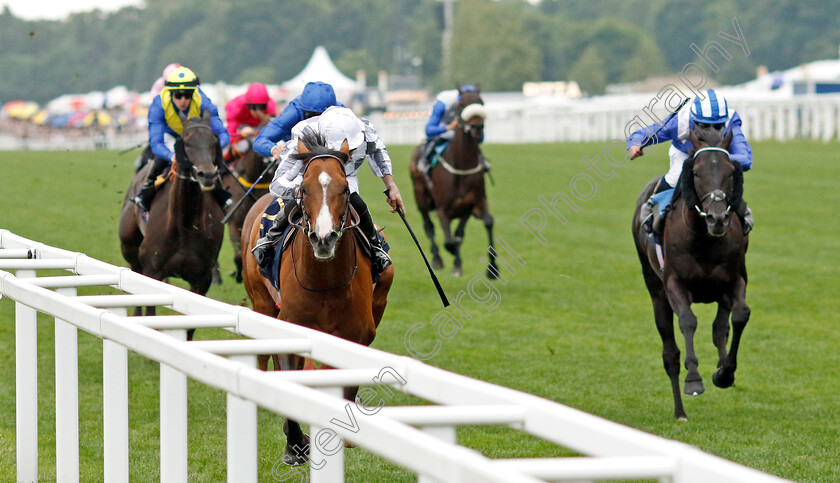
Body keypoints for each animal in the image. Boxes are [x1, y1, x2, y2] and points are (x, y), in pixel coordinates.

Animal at [118, 110, 225, 340]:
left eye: (213, 141)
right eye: (186, 142)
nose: (207, 174)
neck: (185, 226)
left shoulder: (202, 279)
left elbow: (190, 327)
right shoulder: (152, 270)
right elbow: (150, 312)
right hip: (129, 246)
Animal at [238, 130, 392, 466]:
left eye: (345, 189)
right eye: (304, 189)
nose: (324, 238)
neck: (325, 282)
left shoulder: (356, 336)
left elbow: (343, 384)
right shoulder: (289, 327)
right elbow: (290, 378)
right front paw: (294, 445)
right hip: (261, 301)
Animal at [408, 85, 496, 278]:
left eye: (481, 102)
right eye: (461, 105)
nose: (477, 128)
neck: (462, 168)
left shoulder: (473, 204)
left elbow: (483, 224)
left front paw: (492, 268)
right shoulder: (442, 209)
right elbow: (449, 240)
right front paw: (452, 256)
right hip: (421, 197)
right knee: (429, 227)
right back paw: (437, 260)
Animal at [632, 127, 752, 420]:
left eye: (730, 171)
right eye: (696, 172)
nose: (717, 218)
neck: (703, 240)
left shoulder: (734, 280)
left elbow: (740, 316)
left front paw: (725, 373)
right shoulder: (674, 284)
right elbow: (687, 321)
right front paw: (694, 380)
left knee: (720, 328)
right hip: (655, 291)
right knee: (670, 354)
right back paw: (680, 411)